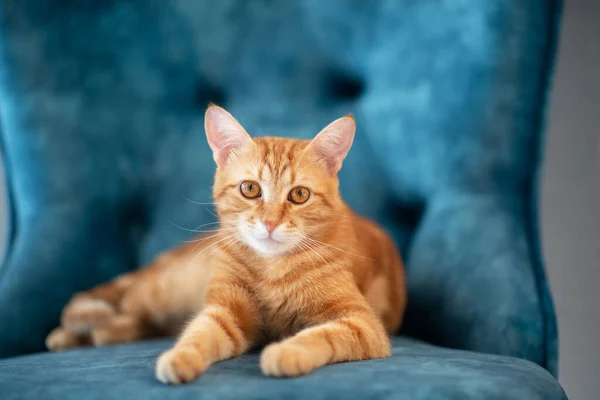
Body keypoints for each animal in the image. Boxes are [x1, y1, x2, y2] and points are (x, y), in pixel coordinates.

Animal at [44, 105, 406, 384]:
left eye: (299, 195)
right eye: (250, 189)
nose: (270, 222)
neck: (271, 269)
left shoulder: (361, 323)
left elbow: (321, 335)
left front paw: (286, 351)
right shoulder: (225, 311)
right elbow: (199, 333)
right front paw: (181, 356)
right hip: (166, 292)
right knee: (129, 303)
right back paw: (68, 335)